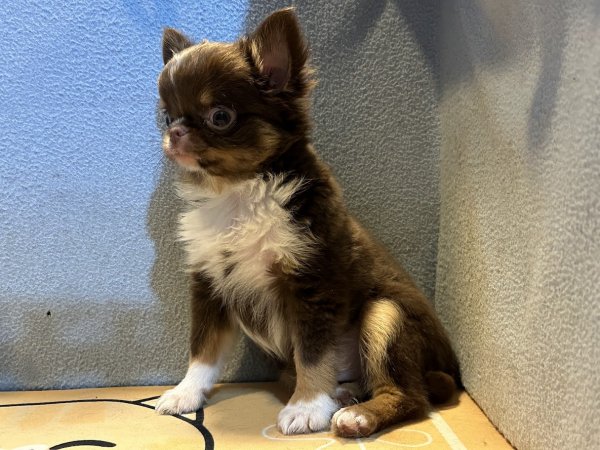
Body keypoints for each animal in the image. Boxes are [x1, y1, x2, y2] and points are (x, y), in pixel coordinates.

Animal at [154, 7, 460, 438]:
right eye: (166, 117)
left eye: (220, 116)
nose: (175, 132)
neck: (238, 191)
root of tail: (449, 368)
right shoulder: (210, 285)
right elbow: (204, 349)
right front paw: (186, 393)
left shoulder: (313, 282)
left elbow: (314, 354)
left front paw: (308, 406)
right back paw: (345, 395)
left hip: (386, 314)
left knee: (410, 395)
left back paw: (357, 415)